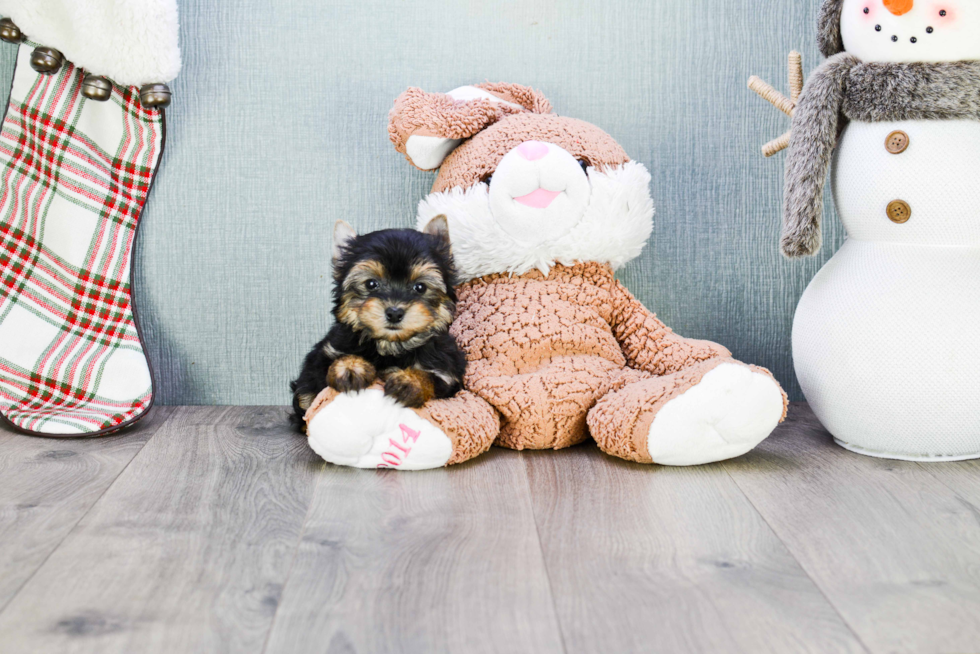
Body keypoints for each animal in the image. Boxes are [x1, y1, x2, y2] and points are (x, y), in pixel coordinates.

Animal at [290, 215, 466, 430]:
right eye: (371, 284)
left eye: (420, 287)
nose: (394, 312)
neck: (391, 346)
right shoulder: (323, 355)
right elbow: (328, 368)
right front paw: (350, 367)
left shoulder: (448, 371)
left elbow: (432, 377)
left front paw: (410, 381)